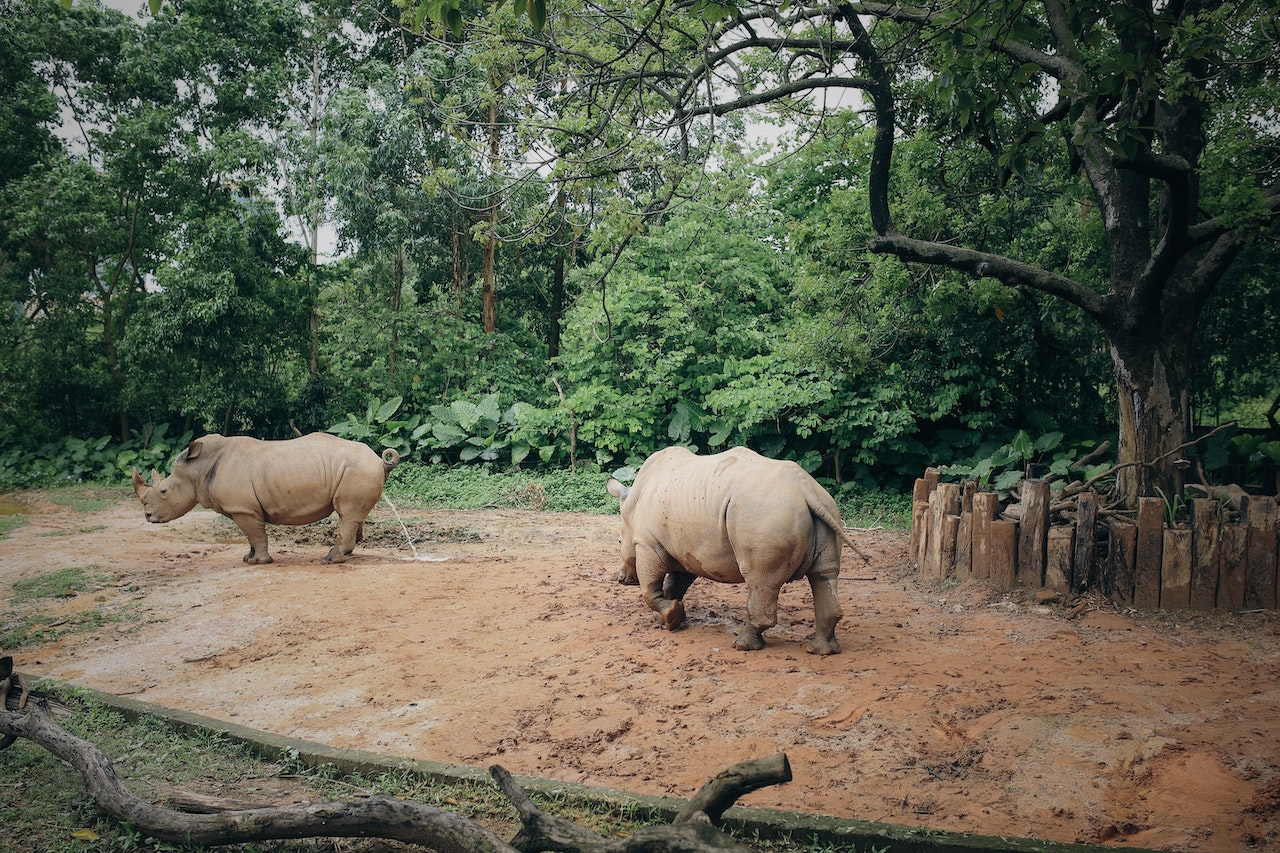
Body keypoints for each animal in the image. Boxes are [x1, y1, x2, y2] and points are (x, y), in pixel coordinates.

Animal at [132, 432, 396, 563]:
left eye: (164, 491)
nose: (148, 516)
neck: (198, 468)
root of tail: (378, 459)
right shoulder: (243, 508)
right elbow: (251, 537)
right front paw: (247, 558)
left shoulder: (243, 508)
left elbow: (256, 535)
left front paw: (258, 562)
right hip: (358, 469)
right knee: (352, 515)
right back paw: (345, 554)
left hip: (358, 468)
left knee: (346, 514)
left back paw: (331, 559)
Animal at [606, 445, 870, 650]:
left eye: (618, 542)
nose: (621, 579)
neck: (631, 504)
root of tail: (807, 491)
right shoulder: (686, 551)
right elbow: (674, 585)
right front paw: (668, 618)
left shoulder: (648, 544)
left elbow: (649, 589)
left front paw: (669, 616)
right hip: (826, 508)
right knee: (823, 576)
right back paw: (822, 650)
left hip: (763, 514)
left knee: (761, 580)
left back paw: (742, 644)